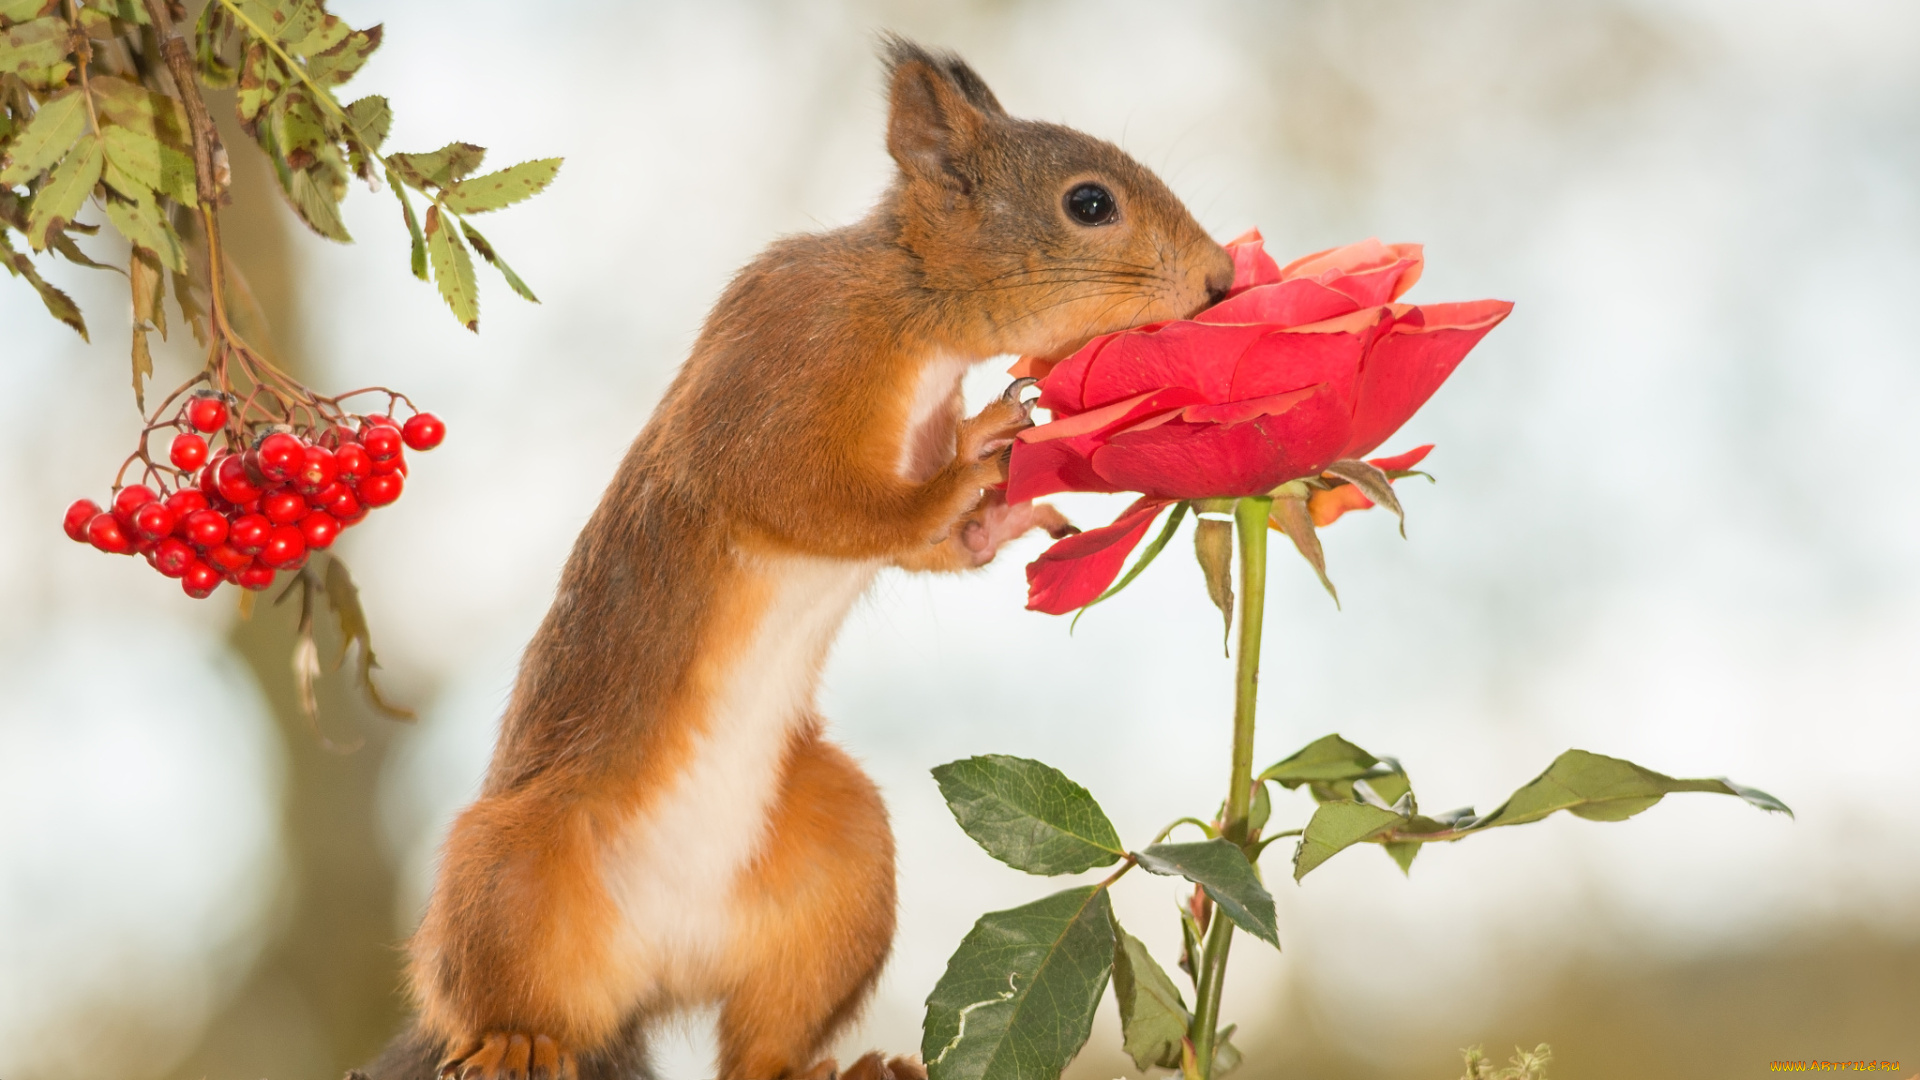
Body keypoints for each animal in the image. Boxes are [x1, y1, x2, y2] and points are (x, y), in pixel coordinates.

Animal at [359, 33, 1228, 1076]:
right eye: (1090, 203)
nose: (1222, 280)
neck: (915, 309)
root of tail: (657, 971)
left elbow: (931, 550)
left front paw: (1004, 508)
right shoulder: (784, 364)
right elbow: (805, 494)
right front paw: (975, 454)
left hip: (841, 867)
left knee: (762, 1053)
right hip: (510, 870)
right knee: (498, 996)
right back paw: (514, 1041)